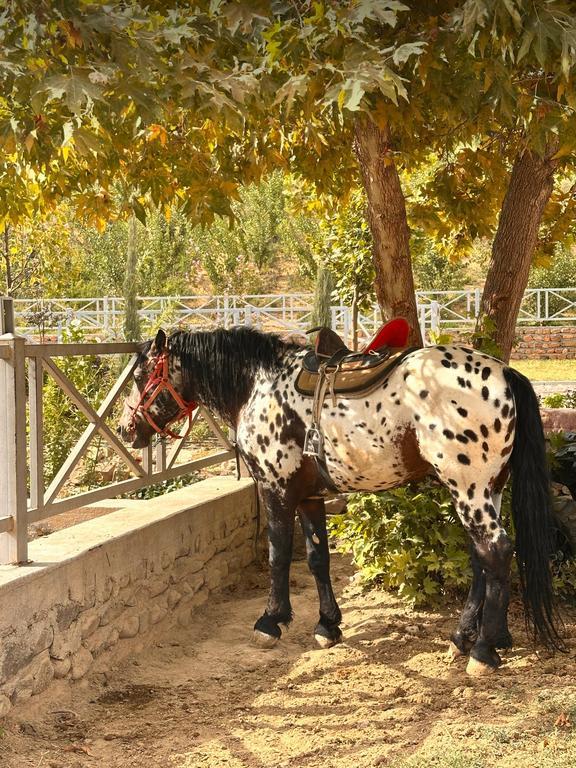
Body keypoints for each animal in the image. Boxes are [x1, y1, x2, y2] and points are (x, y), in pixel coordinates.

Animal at [118, 325, 563, 676]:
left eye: (140, 375)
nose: (127, 429)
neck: (258, 384)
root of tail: (504, 372)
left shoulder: (276, 489)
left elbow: (278, 555)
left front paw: (270, 621)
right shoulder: (311, 497)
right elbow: (318, 559)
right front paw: (327, 626)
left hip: (469, 490)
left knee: (496, 551)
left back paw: (484, 651)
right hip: (489, 489)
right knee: (482, 559)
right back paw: (469, 638)